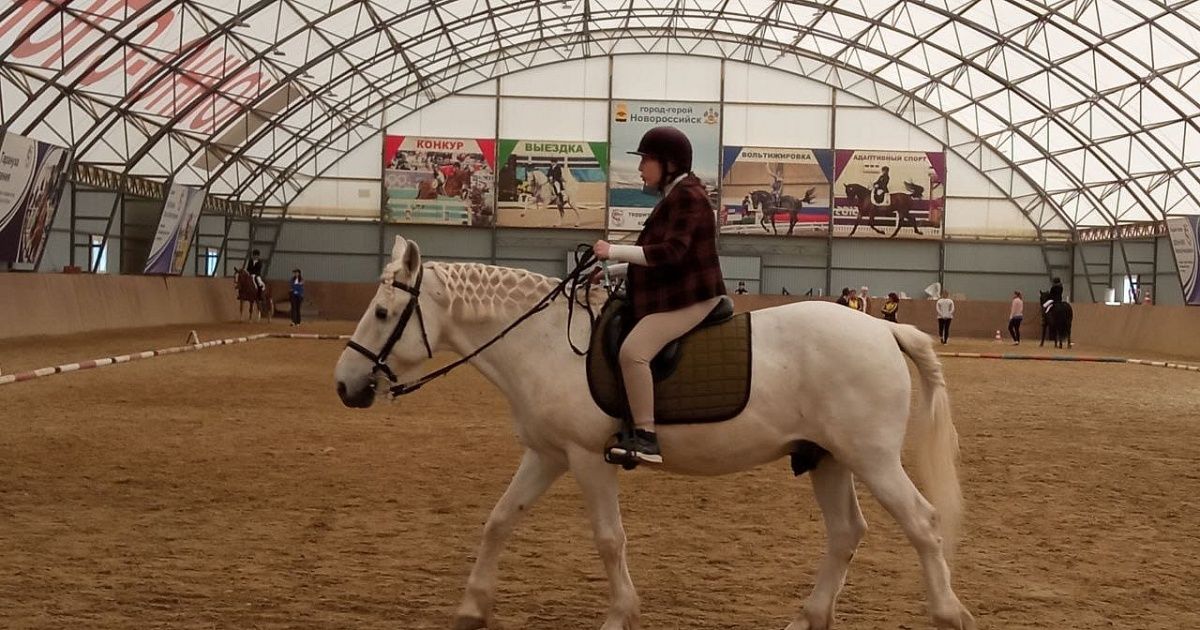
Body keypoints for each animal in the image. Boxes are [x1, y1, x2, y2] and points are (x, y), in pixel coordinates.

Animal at [334, 236, 976, 630]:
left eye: (384, 314)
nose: (345, 385)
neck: (543, 341)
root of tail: (884, 330)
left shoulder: (586, 457)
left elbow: (608, 539)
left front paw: (621, 614)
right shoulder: (546, 454)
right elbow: (498, 521)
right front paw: (472, 607)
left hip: (871, 459)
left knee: (922, 524)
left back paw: (949, 614)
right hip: (827, 458)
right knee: (846, 533)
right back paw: (807, 617)